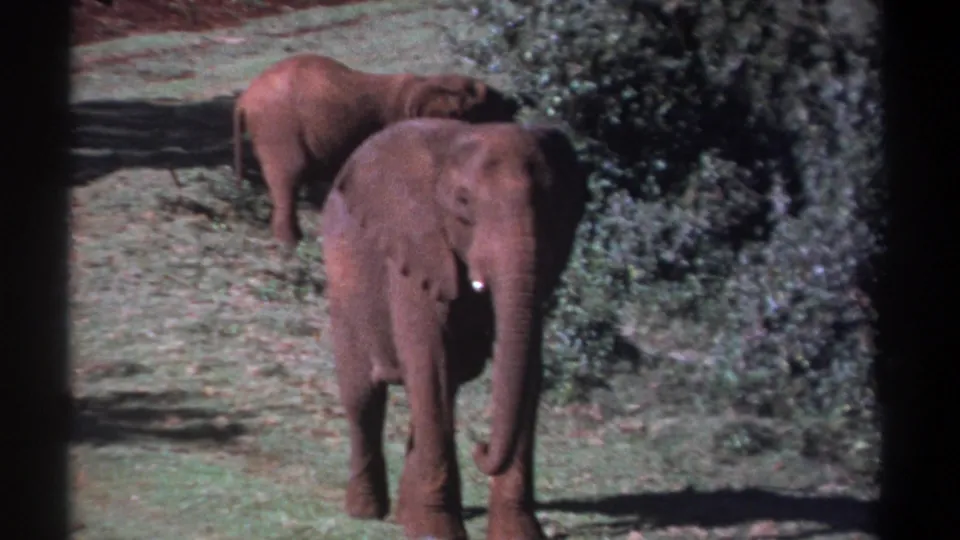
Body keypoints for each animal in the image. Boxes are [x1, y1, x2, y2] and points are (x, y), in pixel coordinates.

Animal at [232, 54, 519, 246]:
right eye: (485, 107)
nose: (515, 105)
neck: (428, 83)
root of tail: (243, 100)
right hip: (278, 127)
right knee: (288, 178)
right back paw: (290, 243)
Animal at [319, 117, 589, 540]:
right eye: (463, 203)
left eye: (551, 205)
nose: (481, 446)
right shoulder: (416, 250)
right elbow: (429, 362)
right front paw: (436, 532)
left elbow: (529, 370)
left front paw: (519, 534)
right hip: (341, 281)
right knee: (364, 397)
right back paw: (366, 513)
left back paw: (405, 516)